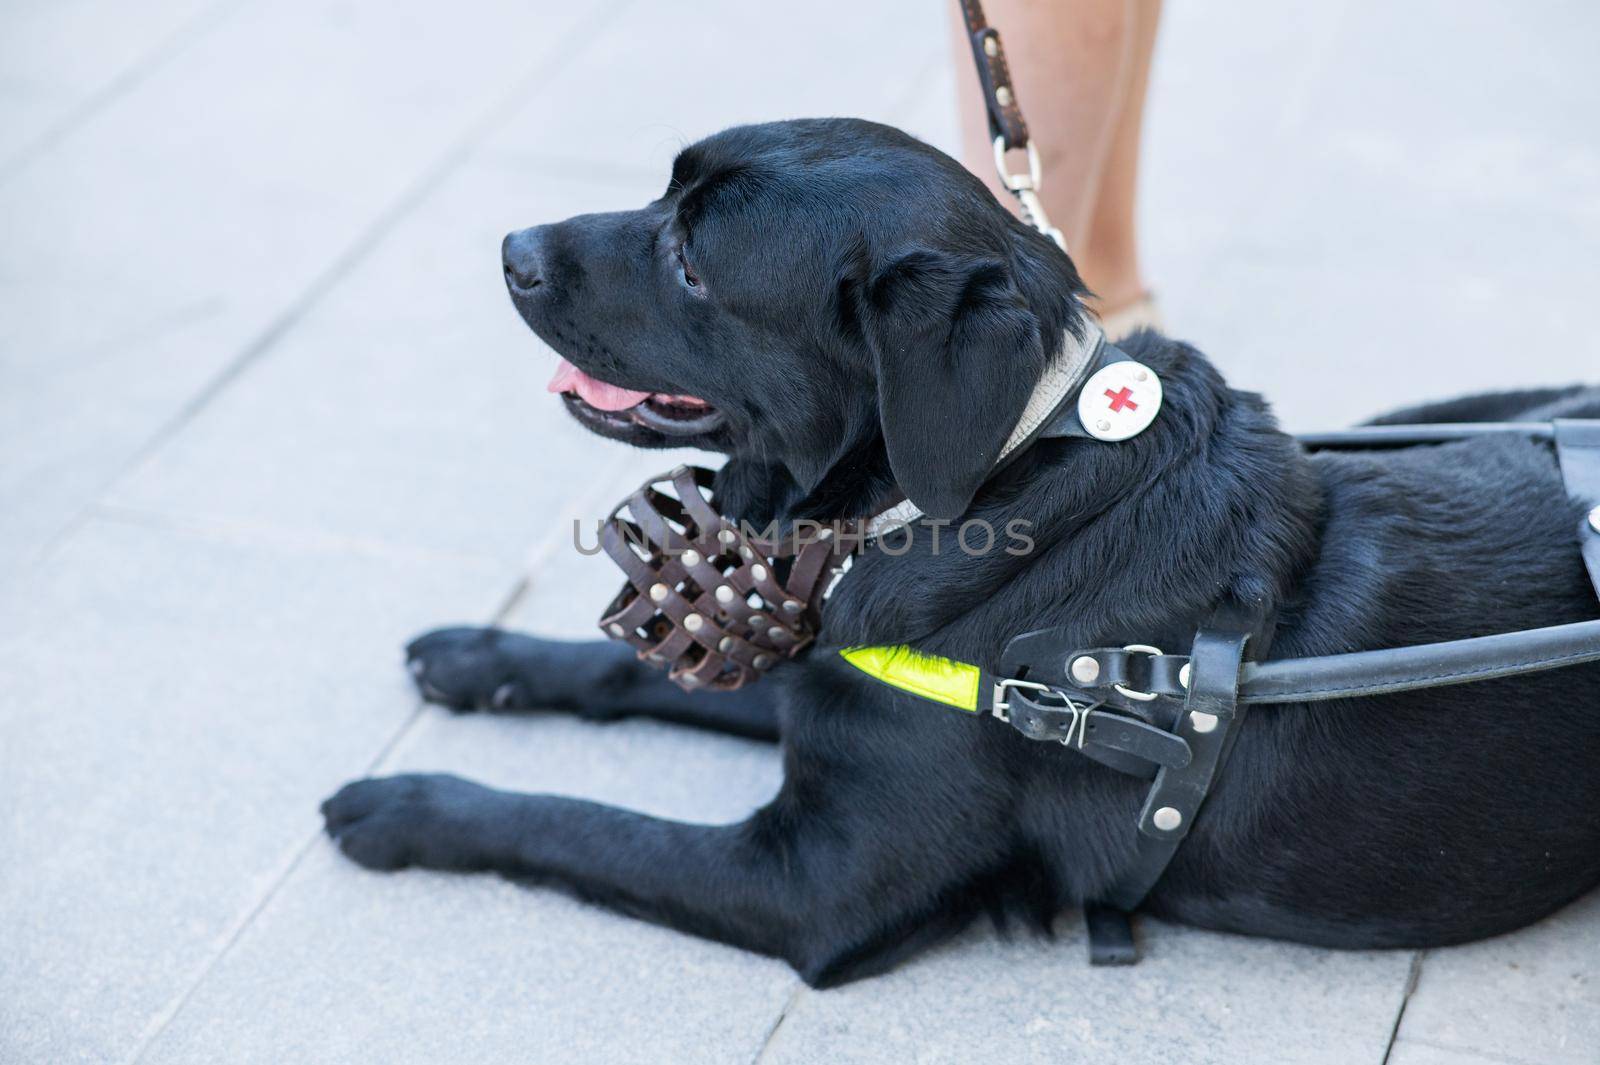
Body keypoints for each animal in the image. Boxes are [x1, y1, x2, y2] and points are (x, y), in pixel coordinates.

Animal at [321, 118, 1600, 985]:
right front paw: (484, 655)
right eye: (661, 192)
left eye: (691, 256)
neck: (984, 483)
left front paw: (406, 806)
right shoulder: (838, 671)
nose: (511, 246)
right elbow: (630, 675)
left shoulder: (807, 884)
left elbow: (578, 827)